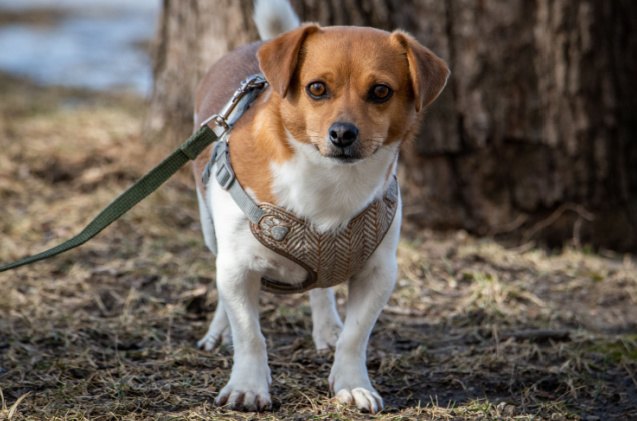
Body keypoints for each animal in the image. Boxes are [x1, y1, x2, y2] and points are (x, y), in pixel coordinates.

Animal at [189, 0, 448, 414]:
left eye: (381, 91)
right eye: (316, 88)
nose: (342, 133)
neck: (327, 182)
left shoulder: (379, 273)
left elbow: (355, 337)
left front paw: (352, 384)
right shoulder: (236, 268)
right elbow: (250, 334)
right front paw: (247, 385)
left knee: (321, 289)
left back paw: (326, 326)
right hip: (211, 232)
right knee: (225, 295)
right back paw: (219, 330)